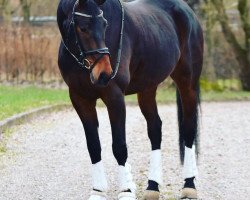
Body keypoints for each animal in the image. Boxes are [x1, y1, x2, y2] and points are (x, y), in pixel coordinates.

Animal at [57, 0, 203, 198]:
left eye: (105, 24)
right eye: (83, 28)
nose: (104, 73)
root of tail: (187, 10)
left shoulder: (115, 97)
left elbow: (119, 146)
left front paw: (126, 190)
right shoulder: (80, 99)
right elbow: (93, 145)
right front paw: (98, 190)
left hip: (187, 83)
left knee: (188, 129)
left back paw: (189, 184)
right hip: (148, 87)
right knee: (155, 129)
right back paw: (152, 186)